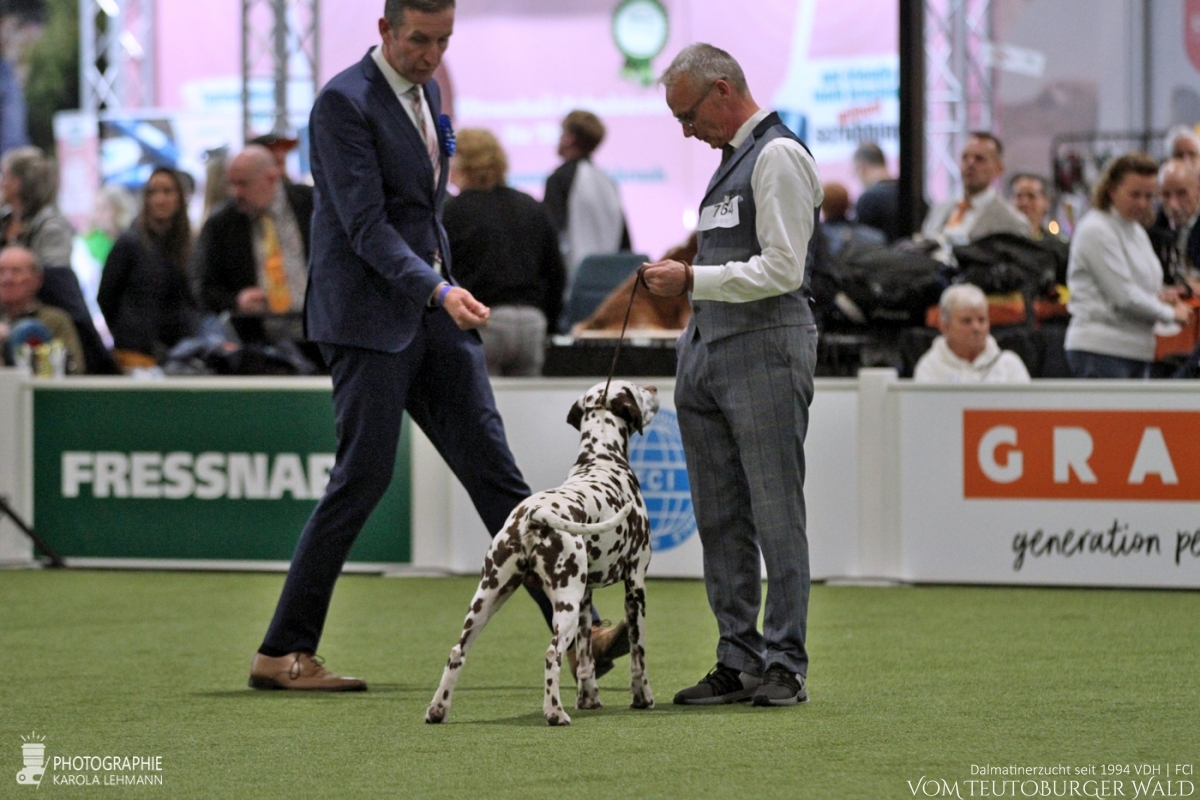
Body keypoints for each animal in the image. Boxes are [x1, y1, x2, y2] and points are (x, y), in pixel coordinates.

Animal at [427, 381, 662, 724]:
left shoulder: (586, 596)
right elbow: (638, 655)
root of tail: (533, 515)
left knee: (458, 651)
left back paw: (438, 709)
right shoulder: (635, 587)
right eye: (635, 389)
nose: (655, 387)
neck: (602, 460)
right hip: (564, 602)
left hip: (489, 597)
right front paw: (642, 698)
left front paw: (588, 700)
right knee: (552, 654)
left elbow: (586, 660)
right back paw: (555, 713)